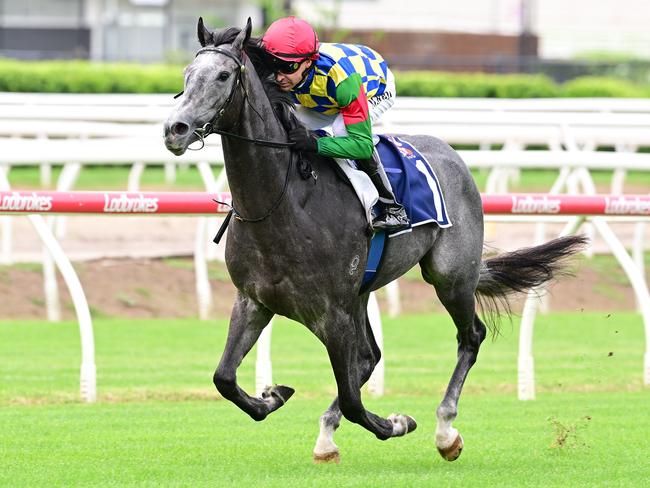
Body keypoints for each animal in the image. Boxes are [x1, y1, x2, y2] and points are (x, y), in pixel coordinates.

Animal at [163, 18, 588, 462]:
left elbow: (353, 400)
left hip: (451, 276)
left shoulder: (331, 312)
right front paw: (273, 395)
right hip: (362, 292)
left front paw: (396, 423)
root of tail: (451, 153)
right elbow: (224, 378)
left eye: (223, 76)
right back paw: (327, 437)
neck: (281, 202)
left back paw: (445, 431)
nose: (175, 129)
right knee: (369, 357)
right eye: (187, 75)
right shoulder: (254, 300)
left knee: (469, 336)